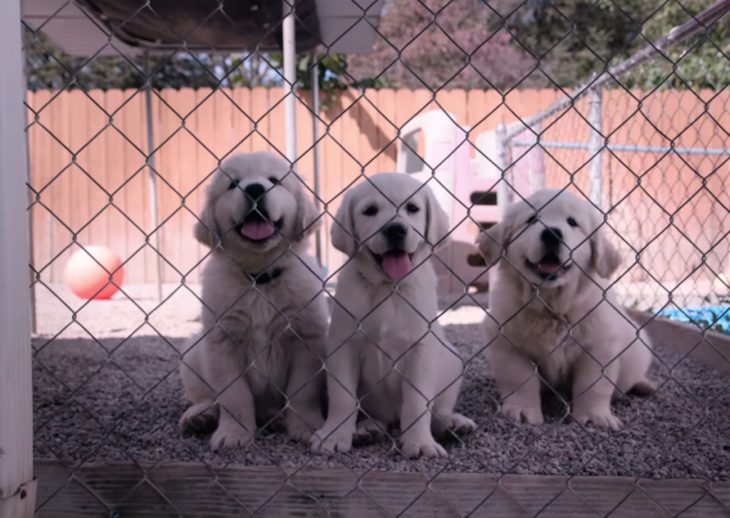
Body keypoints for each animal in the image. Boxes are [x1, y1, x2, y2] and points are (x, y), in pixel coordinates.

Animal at [178, 151, 326, 450]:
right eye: (233, 184)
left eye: (274, 181)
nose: (255, 189)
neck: (259, 278)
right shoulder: (222, 342)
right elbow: (234, 395)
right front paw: (234, 434)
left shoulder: (306, 340)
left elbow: (302, 392)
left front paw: (306, 428)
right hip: (193, 352)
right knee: (208, 397)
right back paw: (201, 416)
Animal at [310, 174, 474, 460]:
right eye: (370, 211)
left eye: (412, 208)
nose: (395, 230)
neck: (389, 288)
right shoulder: (344, 346)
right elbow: (343, 397)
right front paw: (335, 435)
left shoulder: (420, 348)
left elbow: (417, 402)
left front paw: (420, 443)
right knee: (377, 417)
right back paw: (367, 429)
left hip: (452, 360)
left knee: (437, 409)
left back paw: (451, 423)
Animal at [478, 190, 656, 430]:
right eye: (531, 219)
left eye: (572, 222)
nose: (552, 233)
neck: (551, 305)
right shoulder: (508, 343)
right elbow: (520, 379)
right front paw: (522, 411)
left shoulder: (599, 348)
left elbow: (593, 385)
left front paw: (594, 416)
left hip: (639, 346)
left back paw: (644, 385)